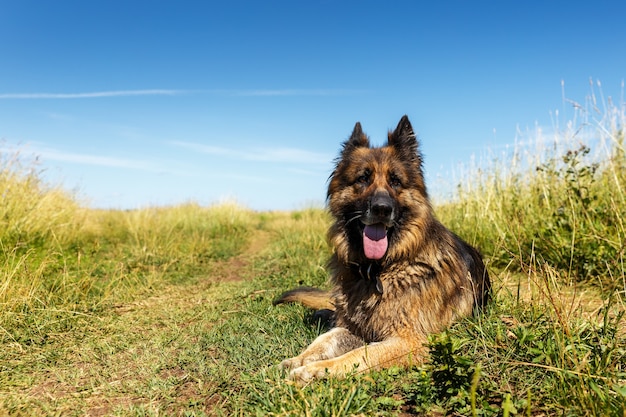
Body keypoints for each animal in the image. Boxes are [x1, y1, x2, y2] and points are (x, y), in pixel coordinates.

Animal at [272, 115, 488, 382]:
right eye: (362, 178)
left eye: (395, 181)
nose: (382, 209)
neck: (378, 270)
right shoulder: (355, 326)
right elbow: (325, 339)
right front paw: (298, 360)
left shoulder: (410, 341)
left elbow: (359, 355)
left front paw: (315, 370)